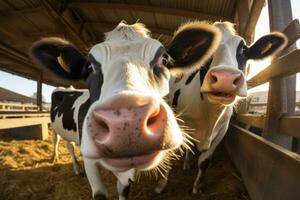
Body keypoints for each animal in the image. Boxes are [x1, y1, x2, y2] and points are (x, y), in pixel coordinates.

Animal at [29, 21, 220, 199]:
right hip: (55, 127)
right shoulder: (90, 161)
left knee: (69, 143)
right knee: (58, 142)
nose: (127, 122)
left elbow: (123, 190)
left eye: (164, 60)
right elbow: (100, 194)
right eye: (89, 67)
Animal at [154, 21, 288, 195]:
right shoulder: (180, 123)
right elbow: (170, 152)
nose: (226, 78)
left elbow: (204, 161)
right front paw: (161, 185)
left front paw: (196, 188)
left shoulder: (221, 131)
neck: (210, 115)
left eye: (244, 49)